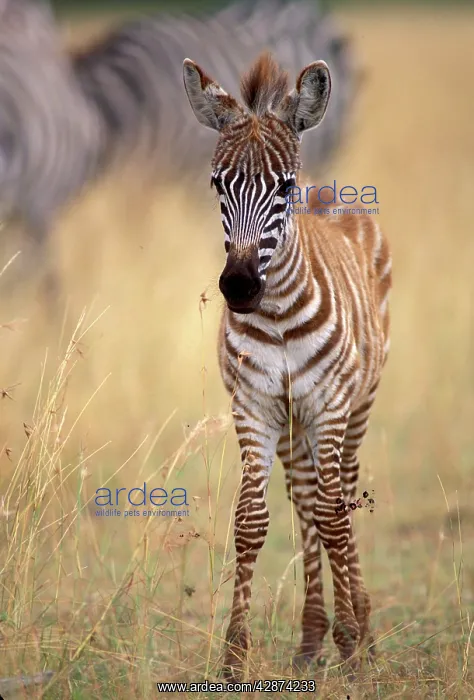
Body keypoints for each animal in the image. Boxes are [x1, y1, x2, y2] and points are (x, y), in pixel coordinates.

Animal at [182, 52, 391, 678]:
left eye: (284, 187)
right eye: (217, 184)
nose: (239, 287)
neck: (274, 315)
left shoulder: (330, 404)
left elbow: (335, 517)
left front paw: (354, 649)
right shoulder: (252, 407)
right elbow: (252, 522)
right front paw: (233, 655)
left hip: (355, 407)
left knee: (340, 494)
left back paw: (359, 627)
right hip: (293, 421)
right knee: (304, 498)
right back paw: (311, 639)